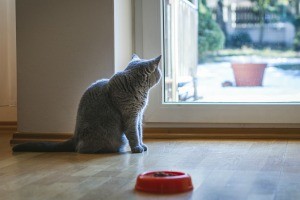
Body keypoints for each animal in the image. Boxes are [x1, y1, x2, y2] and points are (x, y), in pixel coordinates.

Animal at [12, 54, 162, 154]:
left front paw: (142, 145)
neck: (141, 91)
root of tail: (74, 136)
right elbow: (133, 133)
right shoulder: (130, 115)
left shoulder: (138, 115)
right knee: (81, 149)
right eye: (159, 71)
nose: (161, 74)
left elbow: (139, 132)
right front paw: (137, 148)